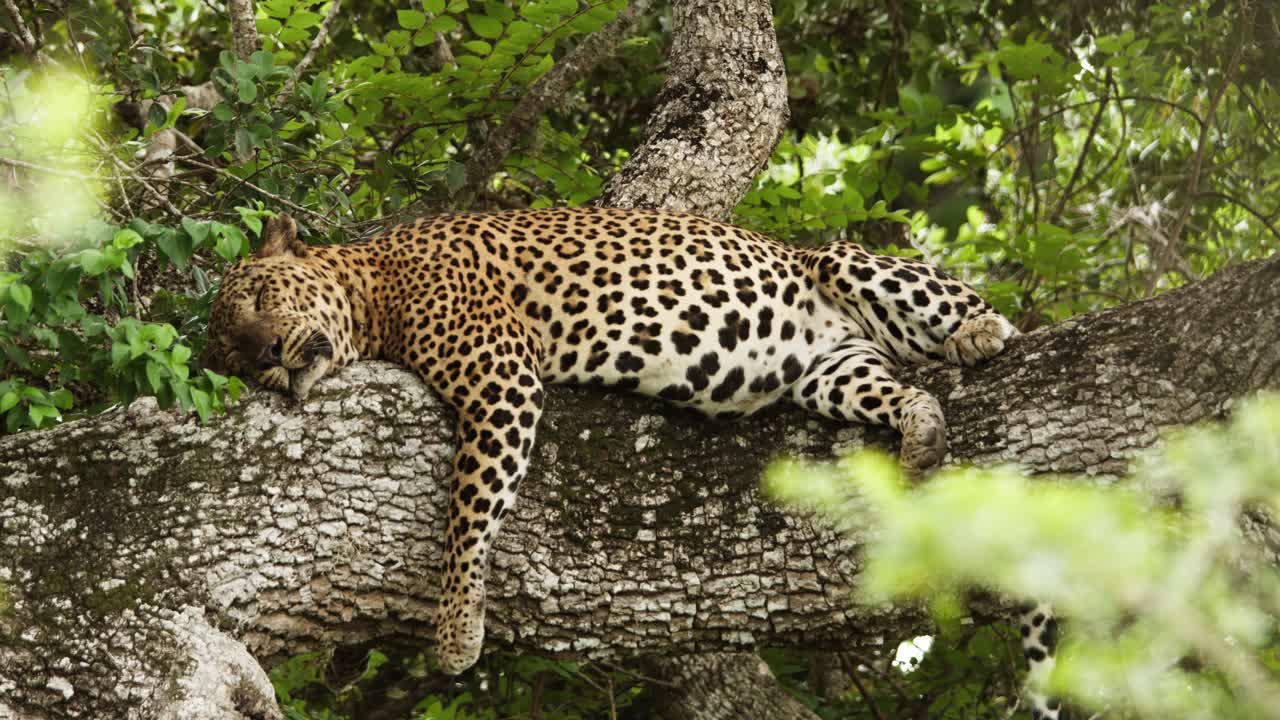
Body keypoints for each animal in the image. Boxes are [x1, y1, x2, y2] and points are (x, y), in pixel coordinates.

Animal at [203, 207, 1058, 719]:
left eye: (258, 299)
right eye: (234, 359)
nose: (269, 358)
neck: (373, 290)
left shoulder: (501, 379)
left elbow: (466, 513)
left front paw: (455, 629)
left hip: (845, 264)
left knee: (971, 314)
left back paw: (979, 333)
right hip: (831, 372)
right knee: (894, 385)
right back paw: (921, 427)